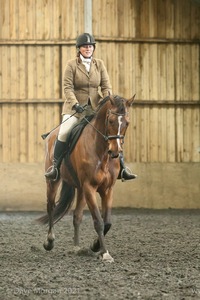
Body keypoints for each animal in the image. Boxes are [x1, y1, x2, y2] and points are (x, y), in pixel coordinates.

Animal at [38, 94, 135, 262]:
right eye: (111, 121)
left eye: (127, 123)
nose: (115, 152)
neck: (101, 152)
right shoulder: (90, 187)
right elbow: (98, 221)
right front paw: (104, 253)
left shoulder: (107, 190)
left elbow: (107, 222)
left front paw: (95, 246)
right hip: (53, 182)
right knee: (51, 207)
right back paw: (49, 241)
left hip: (80, 189)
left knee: (77, 216)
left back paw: (77, 247)